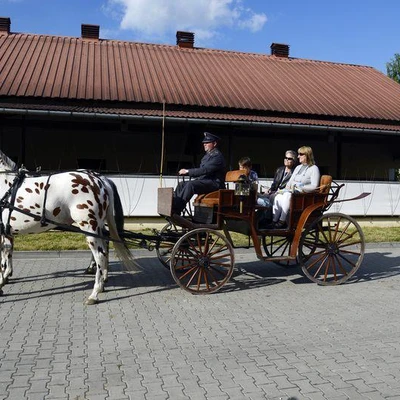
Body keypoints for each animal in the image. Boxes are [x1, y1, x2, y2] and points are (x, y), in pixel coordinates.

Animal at [0, 149, 139, 304]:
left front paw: (2, 282)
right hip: (97, 227)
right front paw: (6, 278)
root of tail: (100, 181)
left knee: (100, 255)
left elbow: (3, 261)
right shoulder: (6, 232)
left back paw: (95, 293)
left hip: (89, 227)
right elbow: (7, 254)